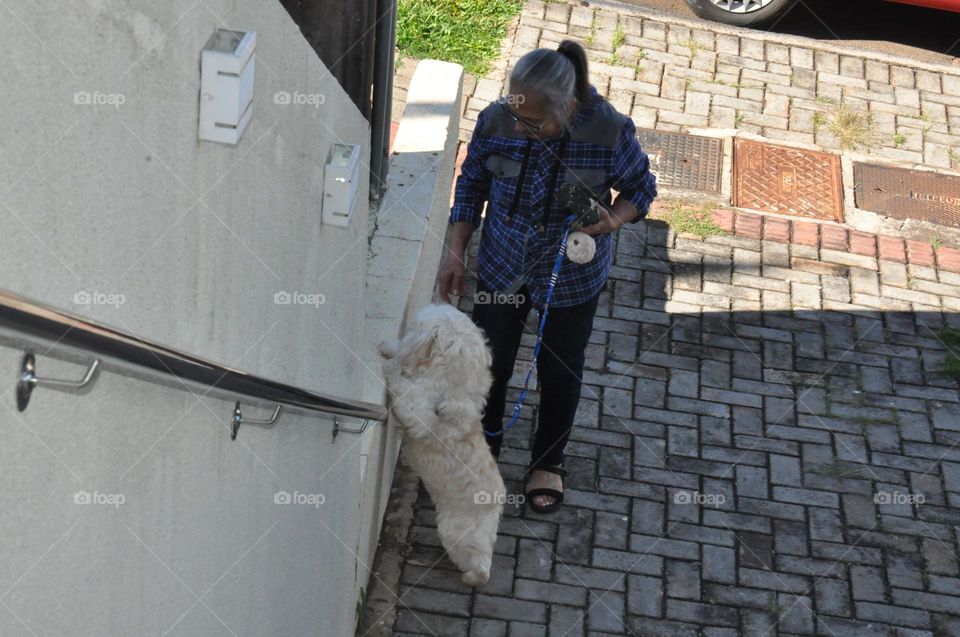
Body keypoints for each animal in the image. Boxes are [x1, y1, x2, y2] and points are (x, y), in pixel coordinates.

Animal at [378, 304, 506, 588]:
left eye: (417, 323)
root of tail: (495, 504)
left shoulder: (418, 413)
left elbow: (401, 383)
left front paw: (390, 362)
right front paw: (391, 349)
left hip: (454, 530)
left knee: (480, 565)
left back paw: (471, 576)